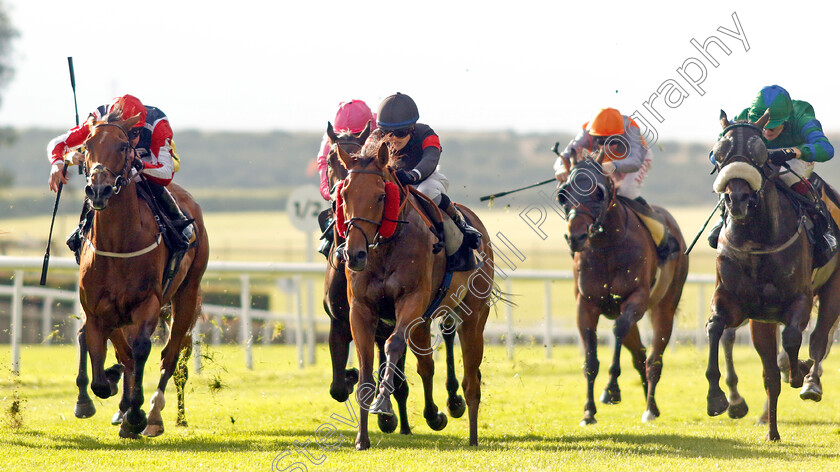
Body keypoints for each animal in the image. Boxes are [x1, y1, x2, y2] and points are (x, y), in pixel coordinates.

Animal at [76, 112, 210, 436]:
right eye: (86, 145)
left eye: (124, 146)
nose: (99, 189)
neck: (117, 243)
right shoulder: (98, 311)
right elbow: (104, 369)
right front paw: (109, 390)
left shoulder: (147, 302)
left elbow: (139, 350)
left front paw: (135, 414)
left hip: (187, 295)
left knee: (170, 356)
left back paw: (154, 415)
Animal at [334, 138, 496, 448]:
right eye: (344, 194)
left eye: (380, 196)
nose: (354, 255)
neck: (385, 247)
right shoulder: (360, 308)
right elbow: (365, 372)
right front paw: (362, 438)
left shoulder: (412, 300)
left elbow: (393, 344)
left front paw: (383, 404)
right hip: (424, 321)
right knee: (427, 365)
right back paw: (436, 415)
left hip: (473, 316)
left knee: (471, 380)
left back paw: (471, 435)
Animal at [556, 150, 688, 424]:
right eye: (563, 194)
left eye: (598, 193)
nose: (576, 237)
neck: (607, 245)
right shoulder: (586, 305)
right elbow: (590, 358)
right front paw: (588, 411)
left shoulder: (635, 298)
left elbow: (617, 332)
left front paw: (611, 390)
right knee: (639, 354)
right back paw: (651, 404)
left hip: (665, 306)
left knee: (654, 359)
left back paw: (650, 408)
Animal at [708, 110, 840, 442]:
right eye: (719, 152)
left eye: (758, 152)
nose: (737, 198)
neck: (757, 240)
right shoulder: (738, 303)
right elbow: (716, 328)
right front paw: (717, 398)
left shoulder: (799, 299)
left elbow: (793, 339)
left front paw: (800, 371)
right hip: (762, 319)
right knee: (770, 372)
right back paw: (772, 431)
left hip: (832, 290)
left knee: (819, 339)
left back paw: (810, 382)